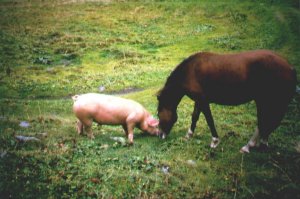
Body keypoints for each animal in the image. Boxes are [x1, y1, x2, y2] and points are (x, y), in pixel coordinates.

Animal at [156, 49, 296, 152]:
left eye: (158, 113)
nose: (160, 134)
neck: (190, 71)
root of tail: (290, 67)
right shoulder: (199, 101)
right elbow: (195, 117)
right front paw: (188, 135)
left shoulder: (203, 100)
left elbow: (209, 120)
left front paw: (215, 141)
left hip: (265, 101)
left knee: (264, 122)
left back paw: (249, 146)